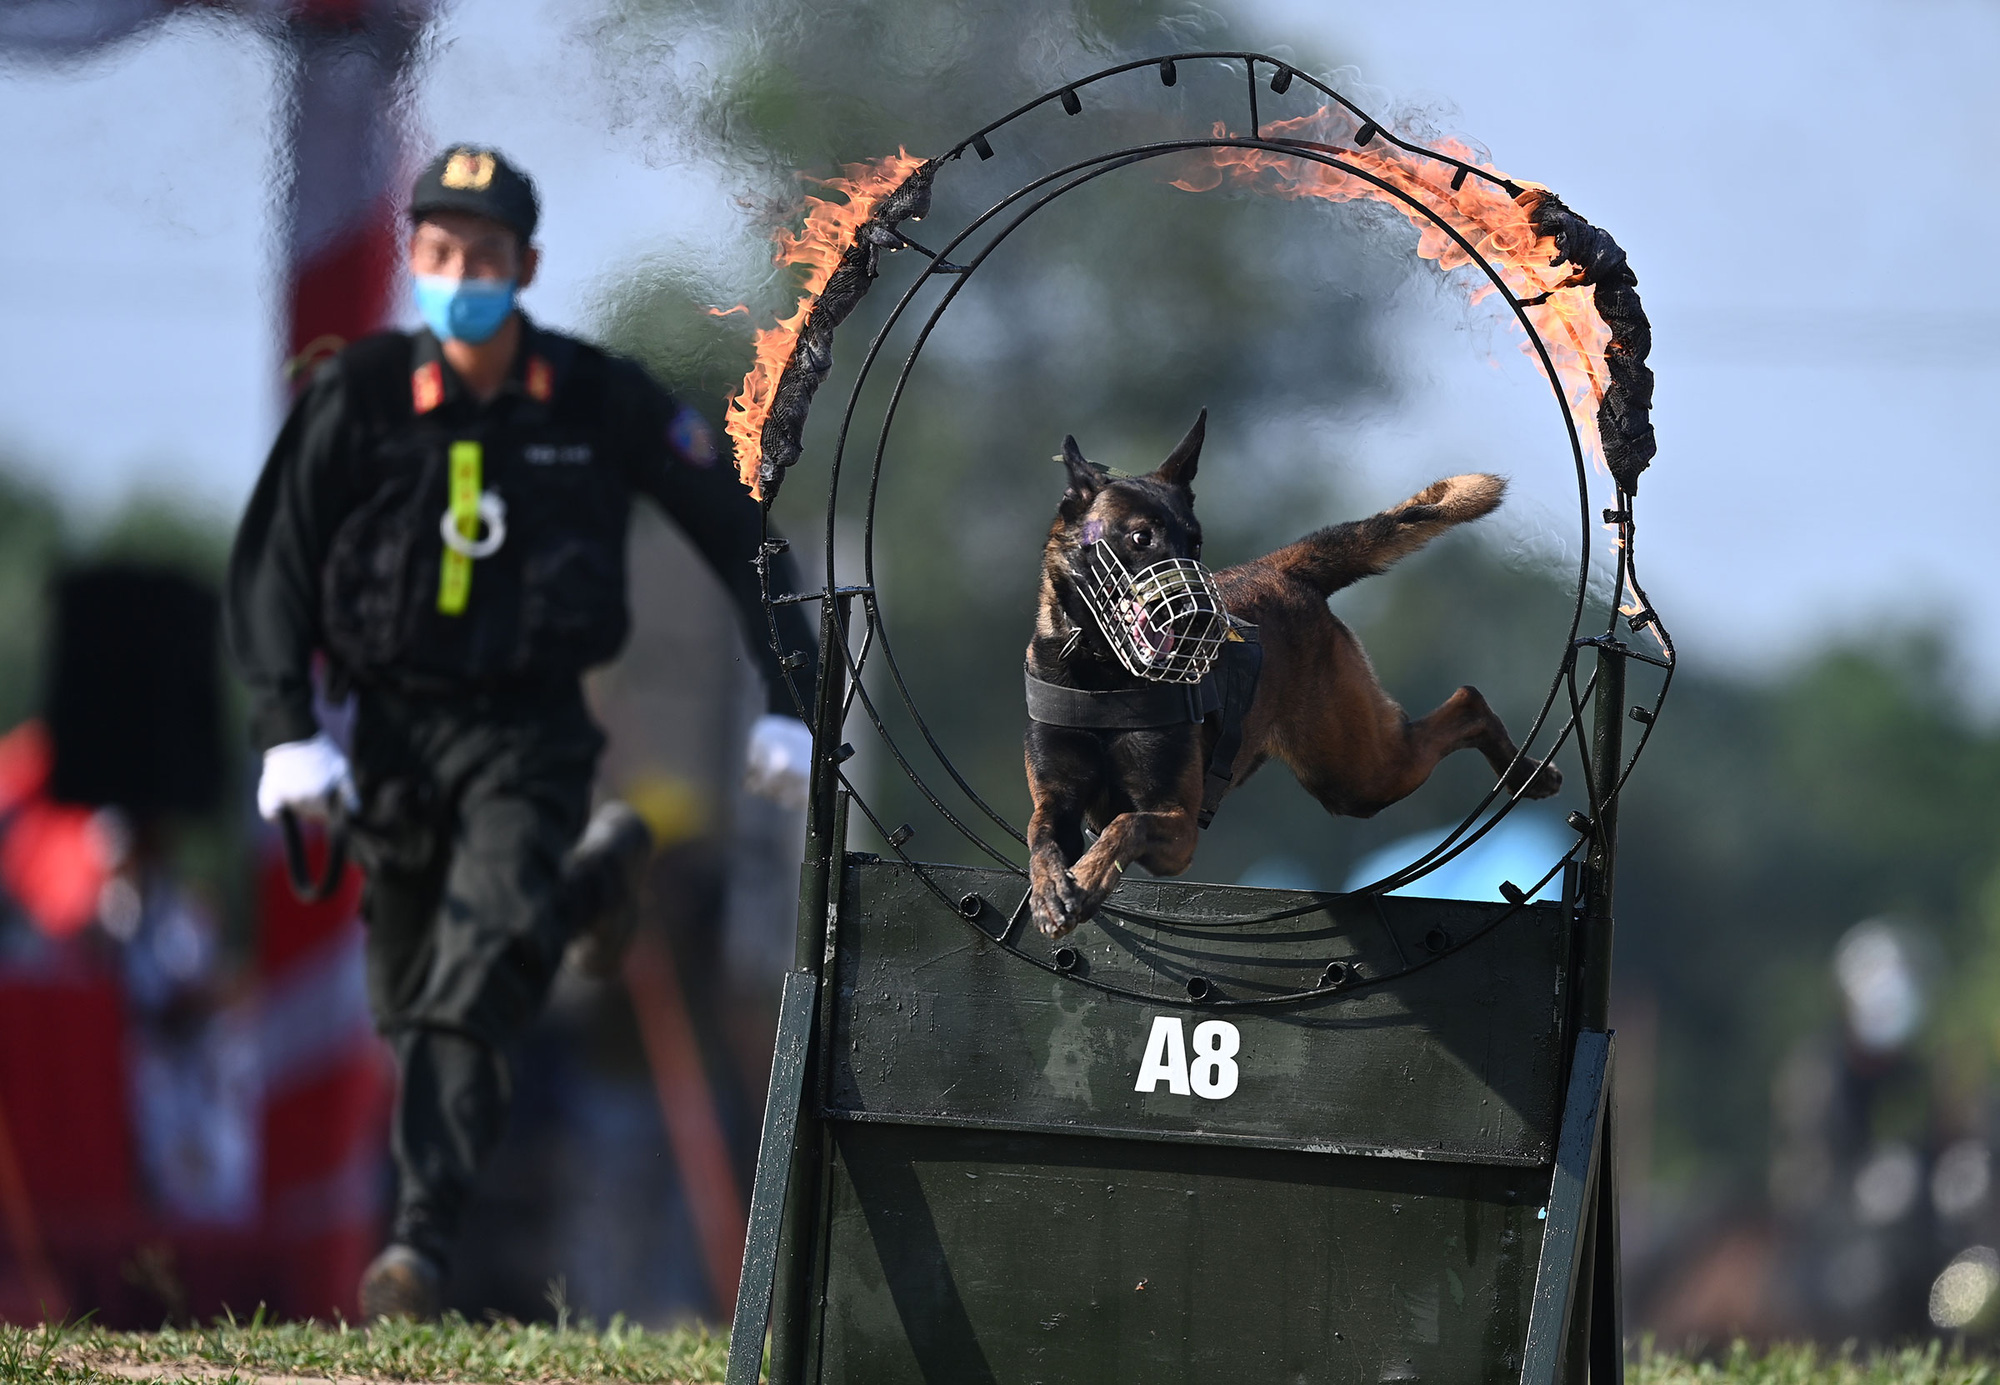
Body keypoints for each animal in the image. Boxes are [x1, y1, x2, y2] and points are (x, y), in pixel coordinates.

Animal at [1032, 406, 1560, 936]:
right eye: (1141, 537)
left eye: (1195, 544)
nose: (1202, 618)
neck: (1102, 674)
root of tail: (1281, 568)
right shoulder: (1056, 802)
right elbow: (1043, 840)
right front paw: (1051, 889)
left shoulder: (1177, 824)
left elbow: (1127, 824)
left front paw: (1088, 877)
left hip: (1360, 776)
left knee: (1468, 699)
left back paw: (1526, 772)